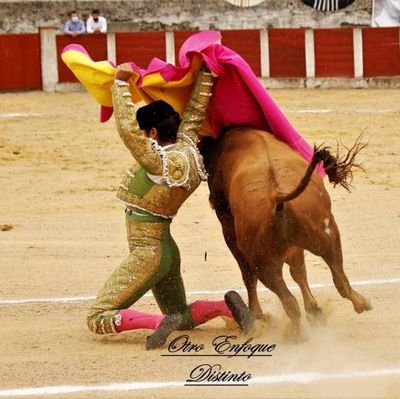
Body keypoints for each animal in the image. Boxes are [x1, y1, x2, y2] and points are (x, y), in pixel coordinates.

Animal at [200, 127, 372, 338]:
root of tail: (280, 201)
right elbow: (299, 271)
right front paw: (314, 312)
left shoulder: (228, 225)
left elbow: (258, 274)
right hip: (328, 236)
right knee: (338, 281)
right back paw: (358, 304)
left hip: (266, 265)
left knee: (286, 297)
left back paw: (291, 331)